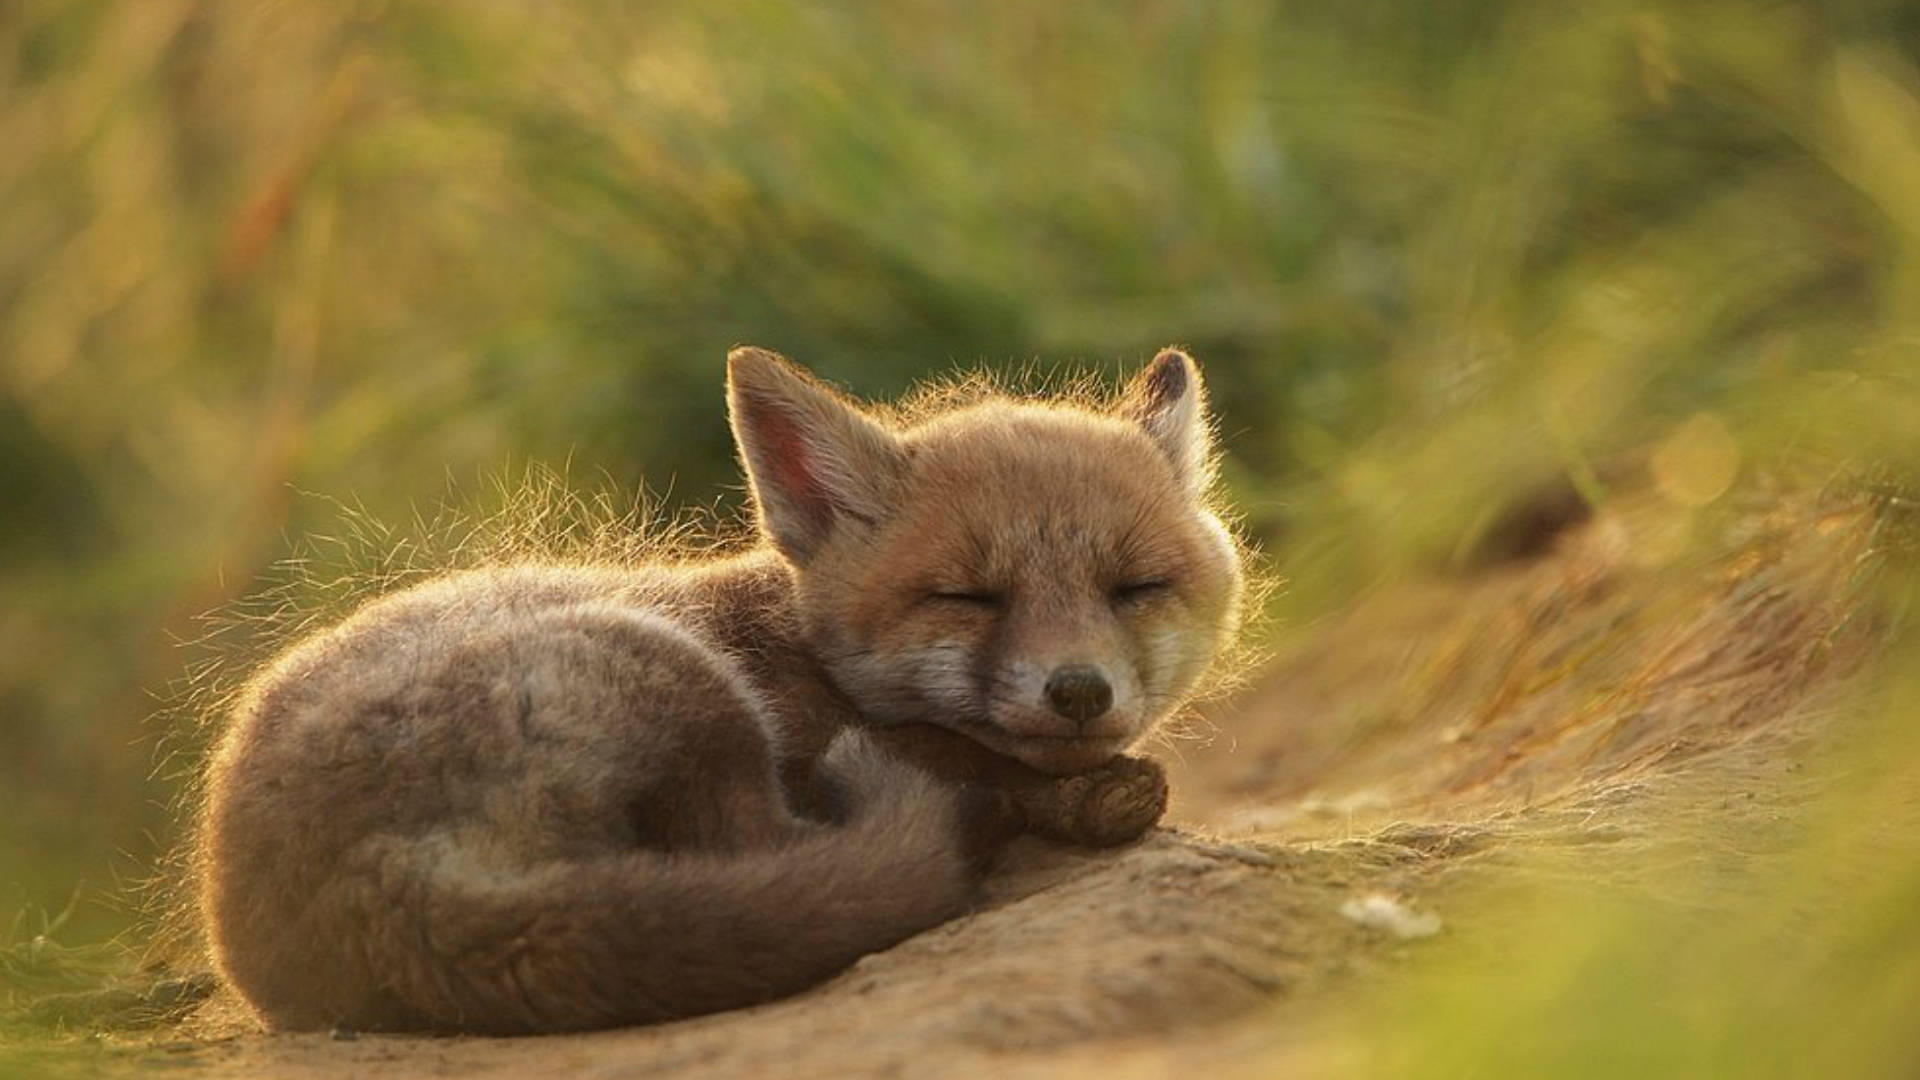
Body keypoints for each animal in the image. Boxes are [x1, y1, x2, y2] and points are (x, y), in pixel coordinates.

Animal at [198, 346, 1246, 1035]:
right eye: (966, 597)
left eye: (1134, 587)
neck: (799, 651)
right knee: (782, 848)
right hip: (678, 677)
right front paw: (1074, 797)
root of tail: (371, 879)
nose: (1078, 692)